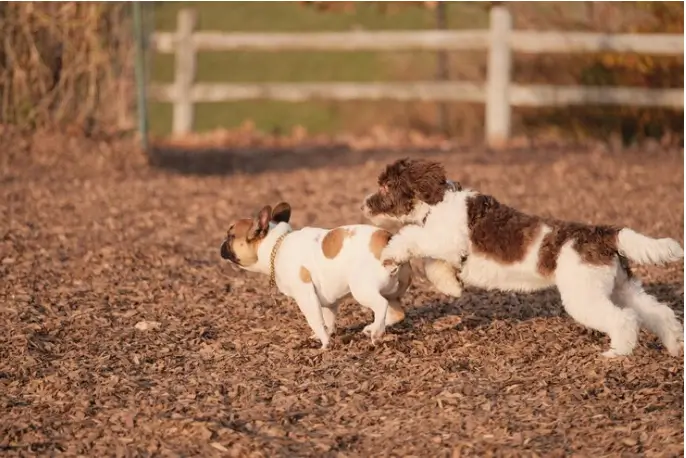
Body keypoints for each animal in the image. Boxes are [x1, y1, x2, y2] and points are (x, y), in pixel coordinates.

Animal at [223, 202, 412, 348]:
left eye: (230, 236)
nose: (222, 243)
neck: (277, 244)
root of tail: (389, 241)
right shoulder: (328, 301)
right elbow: (328, 319)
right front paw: (327, 334)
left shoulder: (305, 295)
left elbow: (315, 320)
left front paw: (325, 343)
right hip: (393, 292)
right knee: (396, 313)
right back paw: (371, 327)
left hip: (361, 289)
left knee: (381, 304)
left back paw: (376, 333)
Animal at [362, 158, 684, 358]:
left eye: (386, 186)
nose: (364, 204)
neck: (437, 201)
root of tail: (604, 235)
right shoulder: (446, 247)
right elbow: (431, 264)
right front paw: (451, 285)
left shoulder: (445, 240)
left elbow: (412, 239)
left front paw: (391, 252)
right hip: (621, 286)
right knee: (659, 312)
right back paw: (674, 346)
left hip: (585, 295)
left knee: (624, 319)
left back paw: (617, 353)